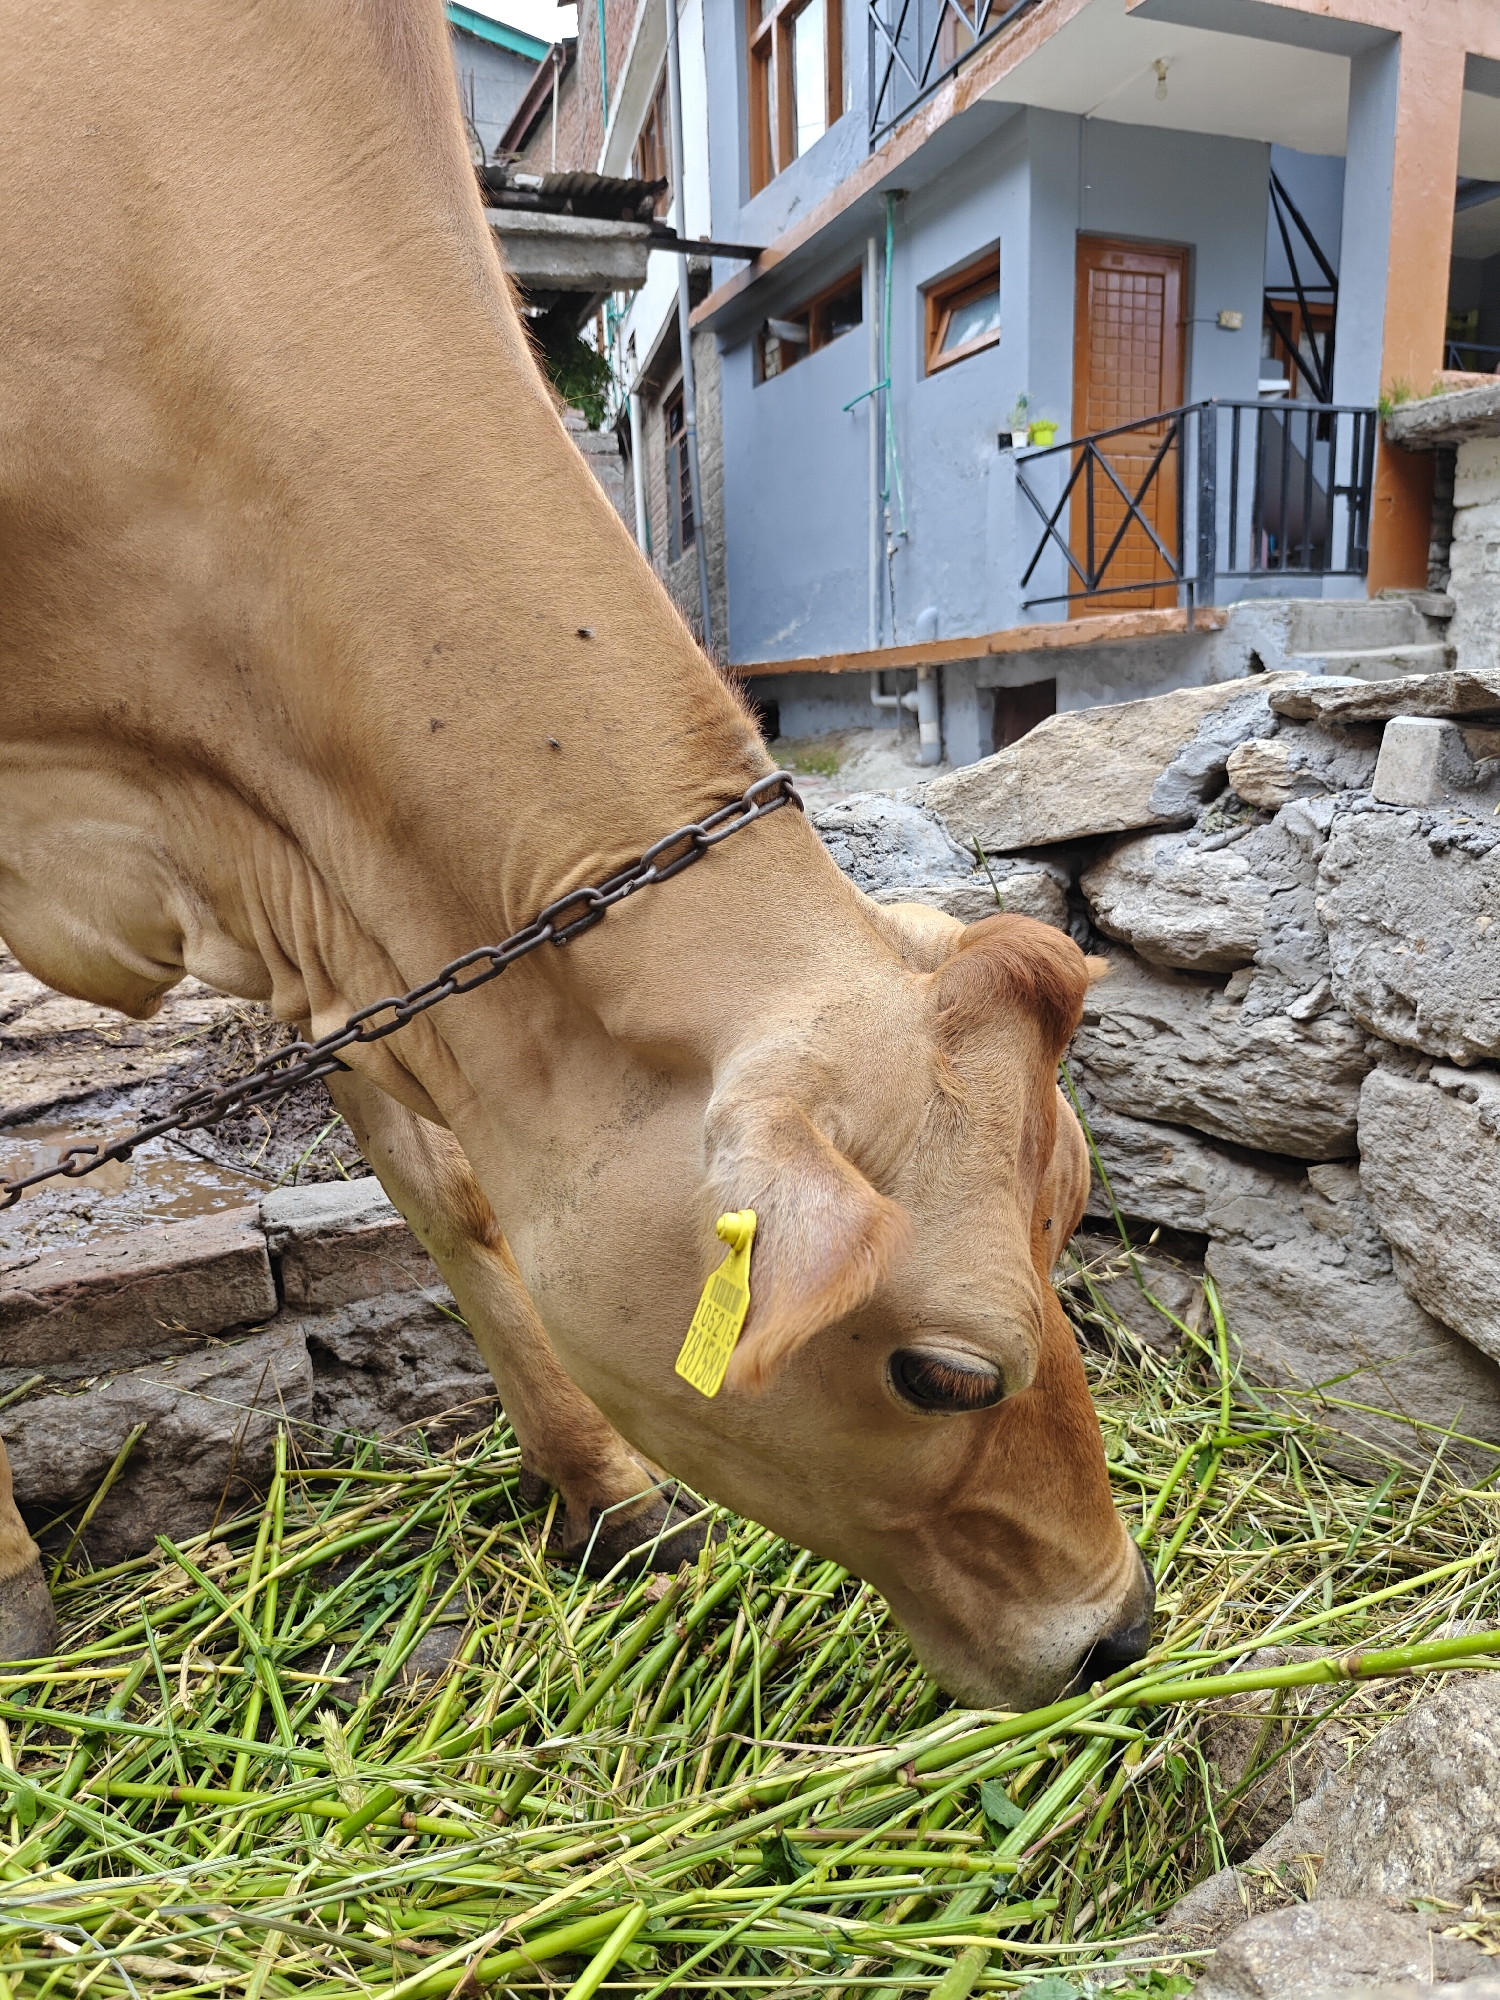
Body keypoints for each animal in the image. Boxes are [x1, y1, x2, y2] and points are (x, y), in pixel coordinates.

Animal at [0, 0, 1152, 1708]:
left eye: (1075, 1213)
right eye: (944, 1373)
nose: (1118, 1630)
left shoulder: (343, 898)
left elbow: (450, 1192)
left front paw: (606, 1492)